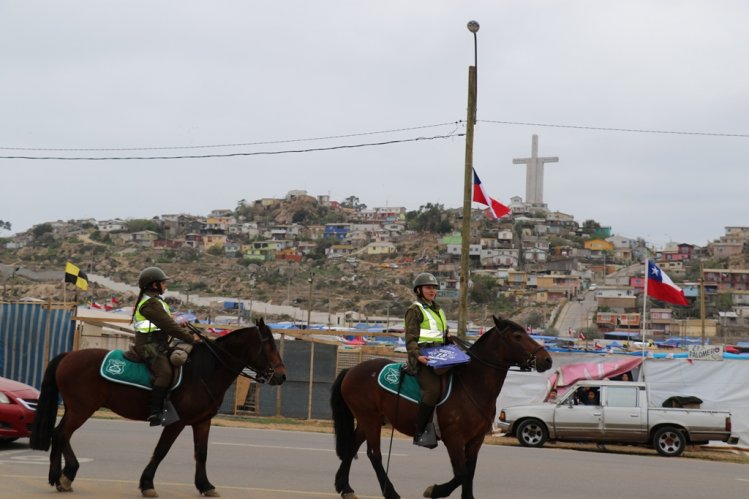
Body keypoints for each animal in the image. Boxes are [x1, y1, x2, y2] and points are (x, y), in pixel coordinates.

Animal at [30, 318, 284, 498]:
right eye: (269, 346)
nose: (281, 376)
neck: (204, 370)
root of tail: (67, 356)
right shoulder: (176, 422)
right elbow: (161, 451)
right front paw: (147, 484)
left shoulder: (203, 421)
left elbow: (201, 453)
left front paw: (205, 485)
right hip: (81, 409)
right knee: (61, 434)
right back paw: (59, 476)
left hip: (77, 409)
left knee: (61, 434)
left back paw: (66, 474)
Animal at [330, 318, 552, 498]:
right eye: (517, 336)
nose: (547, 360)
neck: (472, 385)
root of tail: (352, 370)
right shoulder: (454, 438)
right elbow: (462, 473)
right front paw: (434, 490)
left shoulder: (476, 440)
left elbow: (469, 473)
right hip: (370, 420)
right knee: (374, 455)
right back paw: (390, 492)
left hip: (368, 420)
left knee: (352, 447)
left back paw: (345, 487)